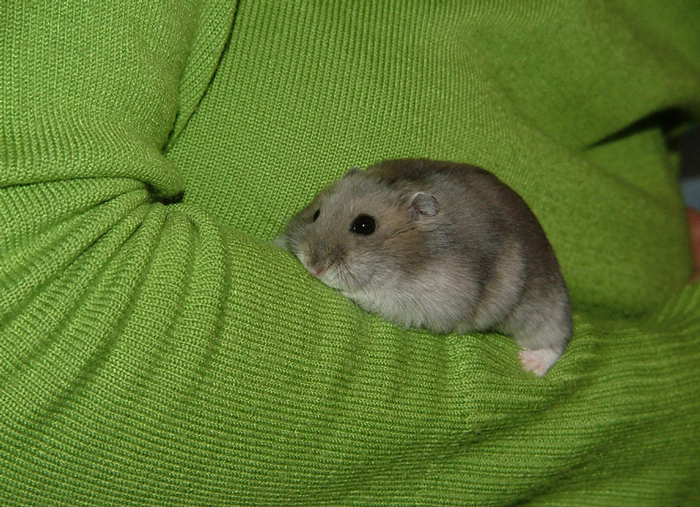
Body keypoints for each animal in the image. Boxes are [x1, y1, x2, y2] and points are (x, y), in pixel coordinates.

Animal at [275, 158, 572, 376]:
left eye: (364, 225)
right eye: (316, 214)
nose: (313, 267)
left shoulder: (426, 299)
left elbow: (373, 297)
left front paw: (349, 292)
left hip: (539, 308)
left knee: (558, 339)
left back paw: (530, 365)